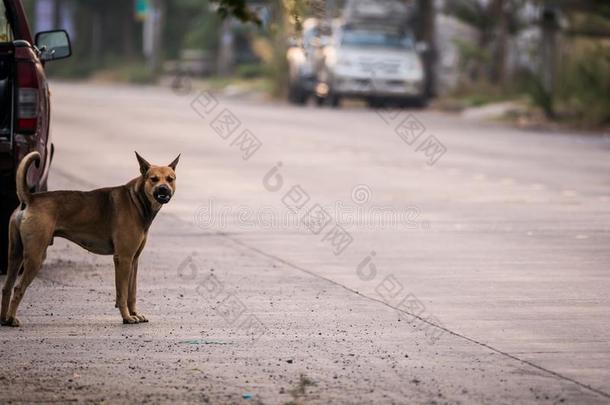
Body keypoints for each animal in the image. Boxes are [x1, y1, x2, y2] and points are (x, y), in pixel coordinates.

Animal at [0, 151, 178, 326]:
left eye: (170, 179)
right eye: (153, 179)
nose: (163, 189)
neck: (136, 199)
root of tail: (30, 199)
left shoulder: (134, 261)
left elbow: (131, 292)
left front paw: (134, 313)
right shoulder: (124, 259)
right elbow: (122, 293)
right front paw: (127, 317)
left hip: (15, 255)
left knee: (7, 287)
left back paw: (4, 319)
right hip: (35, 257)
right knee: (18, 288)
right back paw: (11, 319)